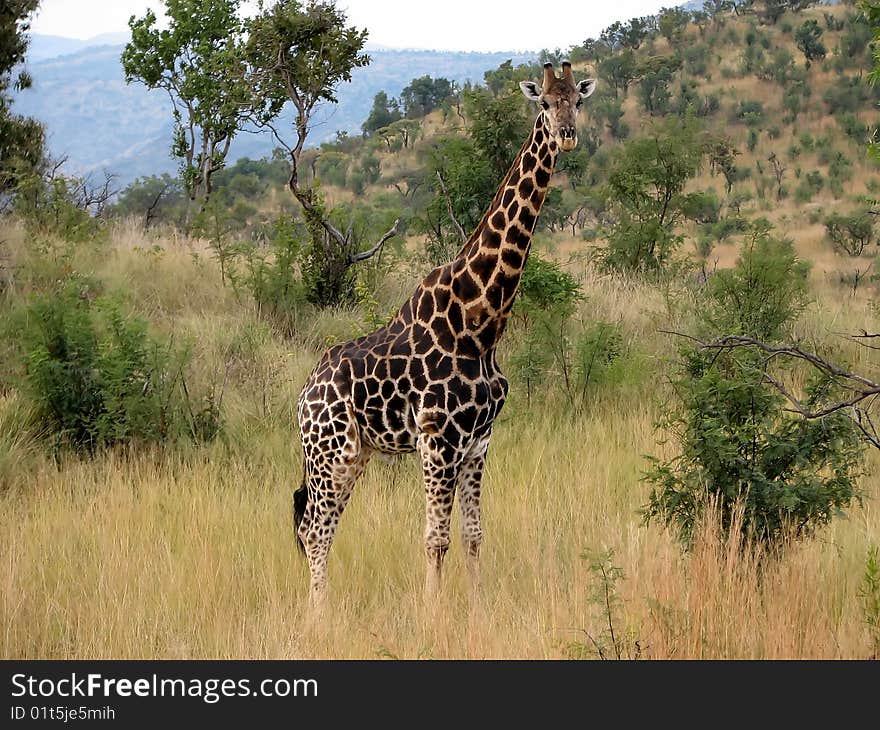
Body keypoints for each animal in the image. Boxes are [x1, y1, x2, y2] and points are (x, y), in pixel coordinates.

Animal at [298, 62, 600, 604]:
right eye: (545, 102)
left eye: (578, 101)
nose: (567, 135)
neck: (481, 323)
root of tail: (302, 397)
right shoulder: (438, 439)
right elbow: (434, 539)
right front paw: (433, 611)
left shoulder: (478, 441)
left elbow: (473, 534)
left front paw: (478, 607)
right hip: (331, 452)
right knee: (315, 528)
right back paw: (319, 613)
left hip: (356, 454)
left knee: (316, 525)